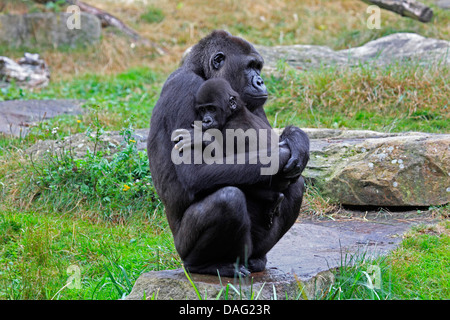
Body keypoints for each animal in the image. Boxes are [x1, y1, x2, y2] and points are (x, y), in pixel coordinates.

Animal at [194, 77, 284, 228]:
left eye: (212, 109)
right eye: (202, 109)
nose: (206, 120)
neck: (235, 113)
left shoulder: (231, 132)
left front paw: (206, 140)